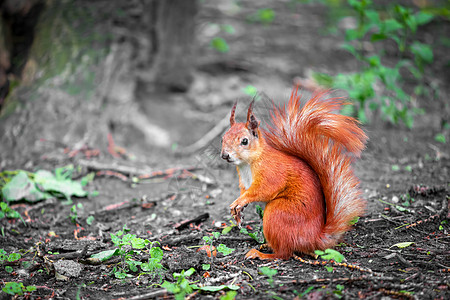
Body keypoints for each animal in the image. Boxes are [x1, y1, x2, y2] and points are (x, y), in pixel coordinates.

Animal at [220, 87, 368, 260]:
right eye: (222, 138)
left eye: (244, 141)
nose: (225, 155)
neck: (247, 164)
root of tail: (314, 238)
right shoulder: (244, 182)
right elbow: (245, 192)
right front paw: (238, 209)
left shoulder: (272, 172)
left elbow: (264, 190)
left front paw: (240, 201)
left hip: (277, 213)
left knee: (284, 253)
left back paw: (261, 254)